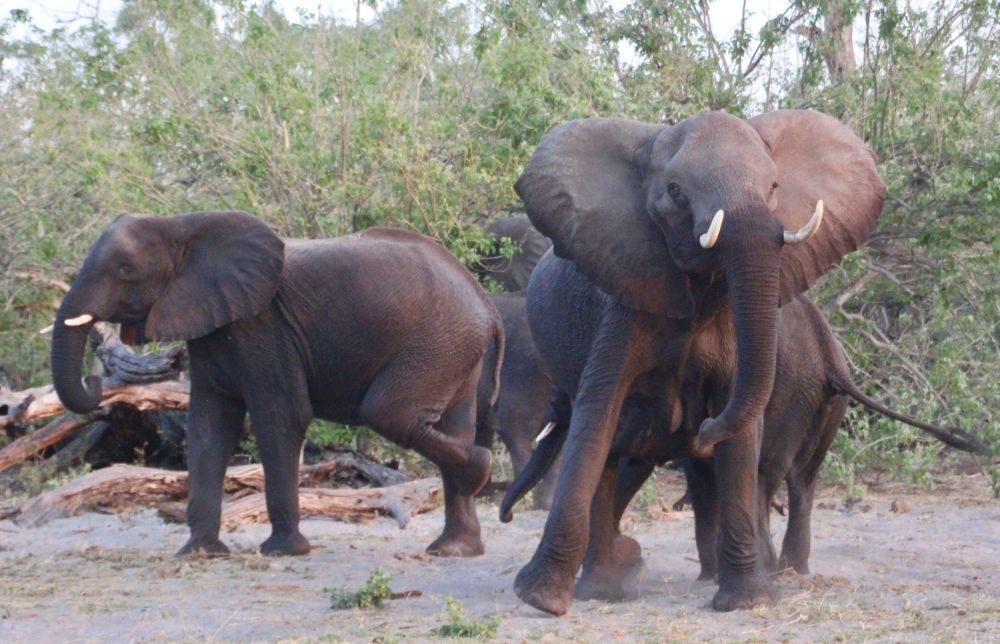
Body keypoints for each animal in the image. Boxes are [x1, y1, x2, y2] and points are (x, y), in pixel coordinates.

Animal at [50, 211, 503, 558]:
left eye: (125, 270)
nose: (96, 377)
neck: (183, 226)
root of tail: (486, 304)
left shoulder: (263, 327)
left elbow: (281, 417)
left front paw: (284, 552)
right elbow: (208, 426)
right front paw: (200, 553)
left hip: (438, 343)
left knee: (390, 413)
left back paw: (478, 473)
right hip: (455, 347)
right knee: (452, 424)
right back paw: (454, 546)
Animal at [500, 285, 987, 600]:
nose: (506, 518)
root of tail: (831, 357)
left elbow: (662, 463)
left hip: (790, 393)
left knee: (765, 476)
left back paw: (767, 571)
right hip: (825, 404)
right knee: (800, 481)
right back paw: (790, 570)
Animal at [509, 109, 887, 615]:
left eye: (774, 186)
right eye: (675, 191)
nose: (702, 428)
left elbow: (741, 431)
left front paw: (748, 601)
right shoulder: (624, 301)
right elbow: (597, 420)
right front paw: (541, 600)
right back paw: (605, 589)